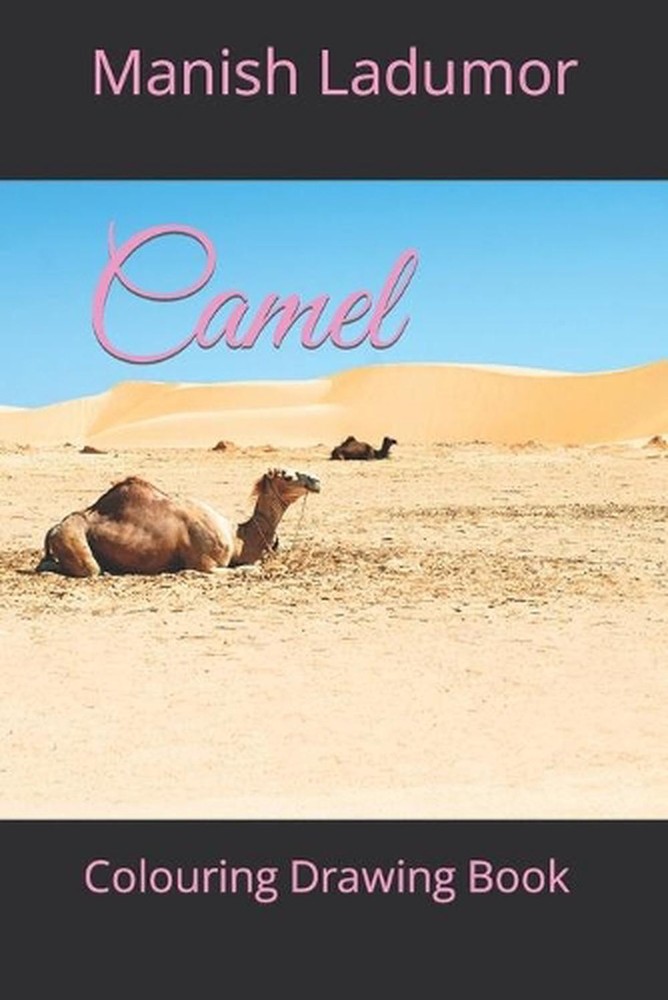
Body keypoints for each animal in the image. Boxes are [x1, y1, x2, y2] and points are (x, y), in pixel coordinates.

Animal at [35, 468, 320, 577]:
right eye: (287, 476)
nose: (316, 480)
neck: (237, 537)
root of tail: (53, 529)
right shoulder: (205, 563)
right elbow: (248, 568)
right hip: (74, 540)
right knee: (88, 569)